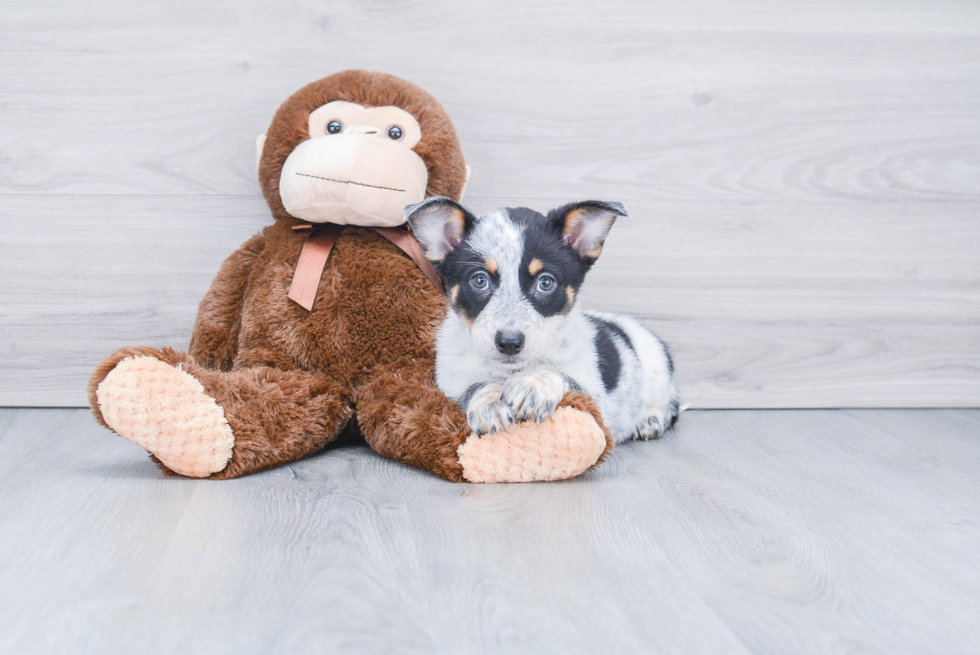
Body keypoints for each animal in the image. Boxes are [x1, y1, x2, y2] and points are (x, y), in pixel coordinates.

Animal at [406, 199, 680, 446]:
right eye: (480, 280)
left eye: (545, 283)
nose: (509, 343)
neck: (510, 370)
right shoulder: (448, 388)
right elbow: (474, 387)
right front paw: (489, 402)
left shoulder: (597, 400)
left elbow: (558, 374)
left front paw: (532, 385)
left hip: (656, 364)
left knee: (670, 408)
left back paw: (648, 419)